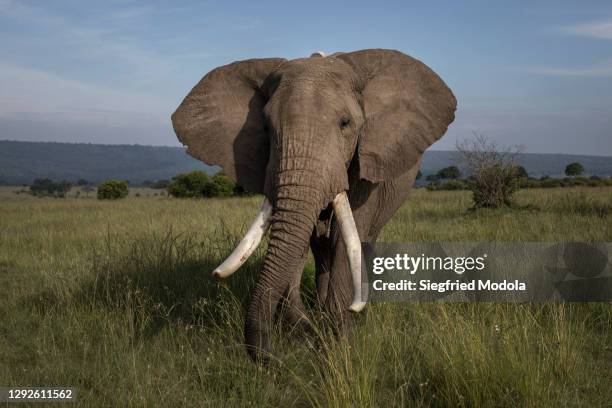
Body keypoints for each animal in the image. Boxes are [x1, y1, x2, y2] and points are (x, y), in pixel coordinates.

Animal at [171, 48, 454, 364]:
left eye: (345, 123)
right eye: (266, 128)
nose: (274, 360)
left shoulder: (366, 162)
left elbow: (348, 236)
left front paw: (338, 342)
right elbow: (297, 237)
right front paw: (310, 330)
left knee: (361, 240)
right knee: (320, 248)